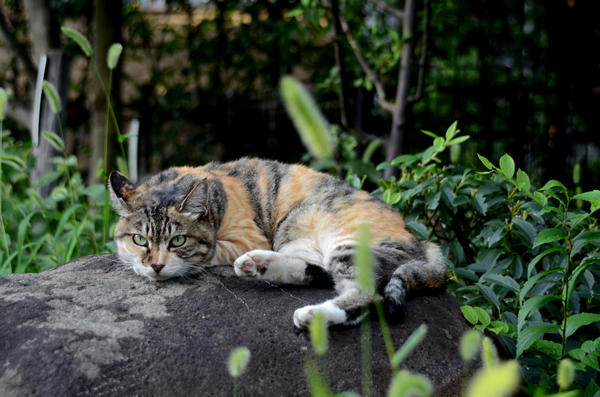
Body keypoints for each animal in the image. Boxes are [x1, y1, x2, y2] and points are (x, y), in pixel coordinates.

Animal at [108, 156, 446, 326]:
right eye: (139, 239)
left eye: (178, 240)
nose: (156, 266)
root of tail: (422, 241)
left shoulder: (248, 236)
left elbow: (211, 250)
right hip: (296, 235)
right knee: (319, 271)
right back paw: (259, 265)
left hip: (347, 244)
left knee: (365, 295)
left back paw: (314, 315)